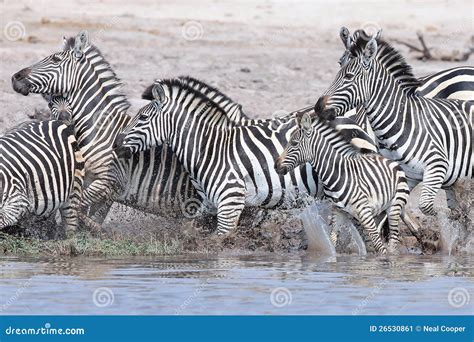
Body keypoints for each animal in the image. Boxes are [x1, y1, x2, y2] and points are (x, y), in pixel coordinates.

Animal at [276, 96, 410, 254]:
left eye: (294, 143)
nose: (276, 166)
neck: (338, 174)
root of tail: (389, 160)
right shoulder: (338, 211)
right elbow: (333, 240)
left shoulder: (364, 212)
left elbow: (380, 247)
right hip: (379, 211)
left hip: (394, 205)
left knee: (392, 242)